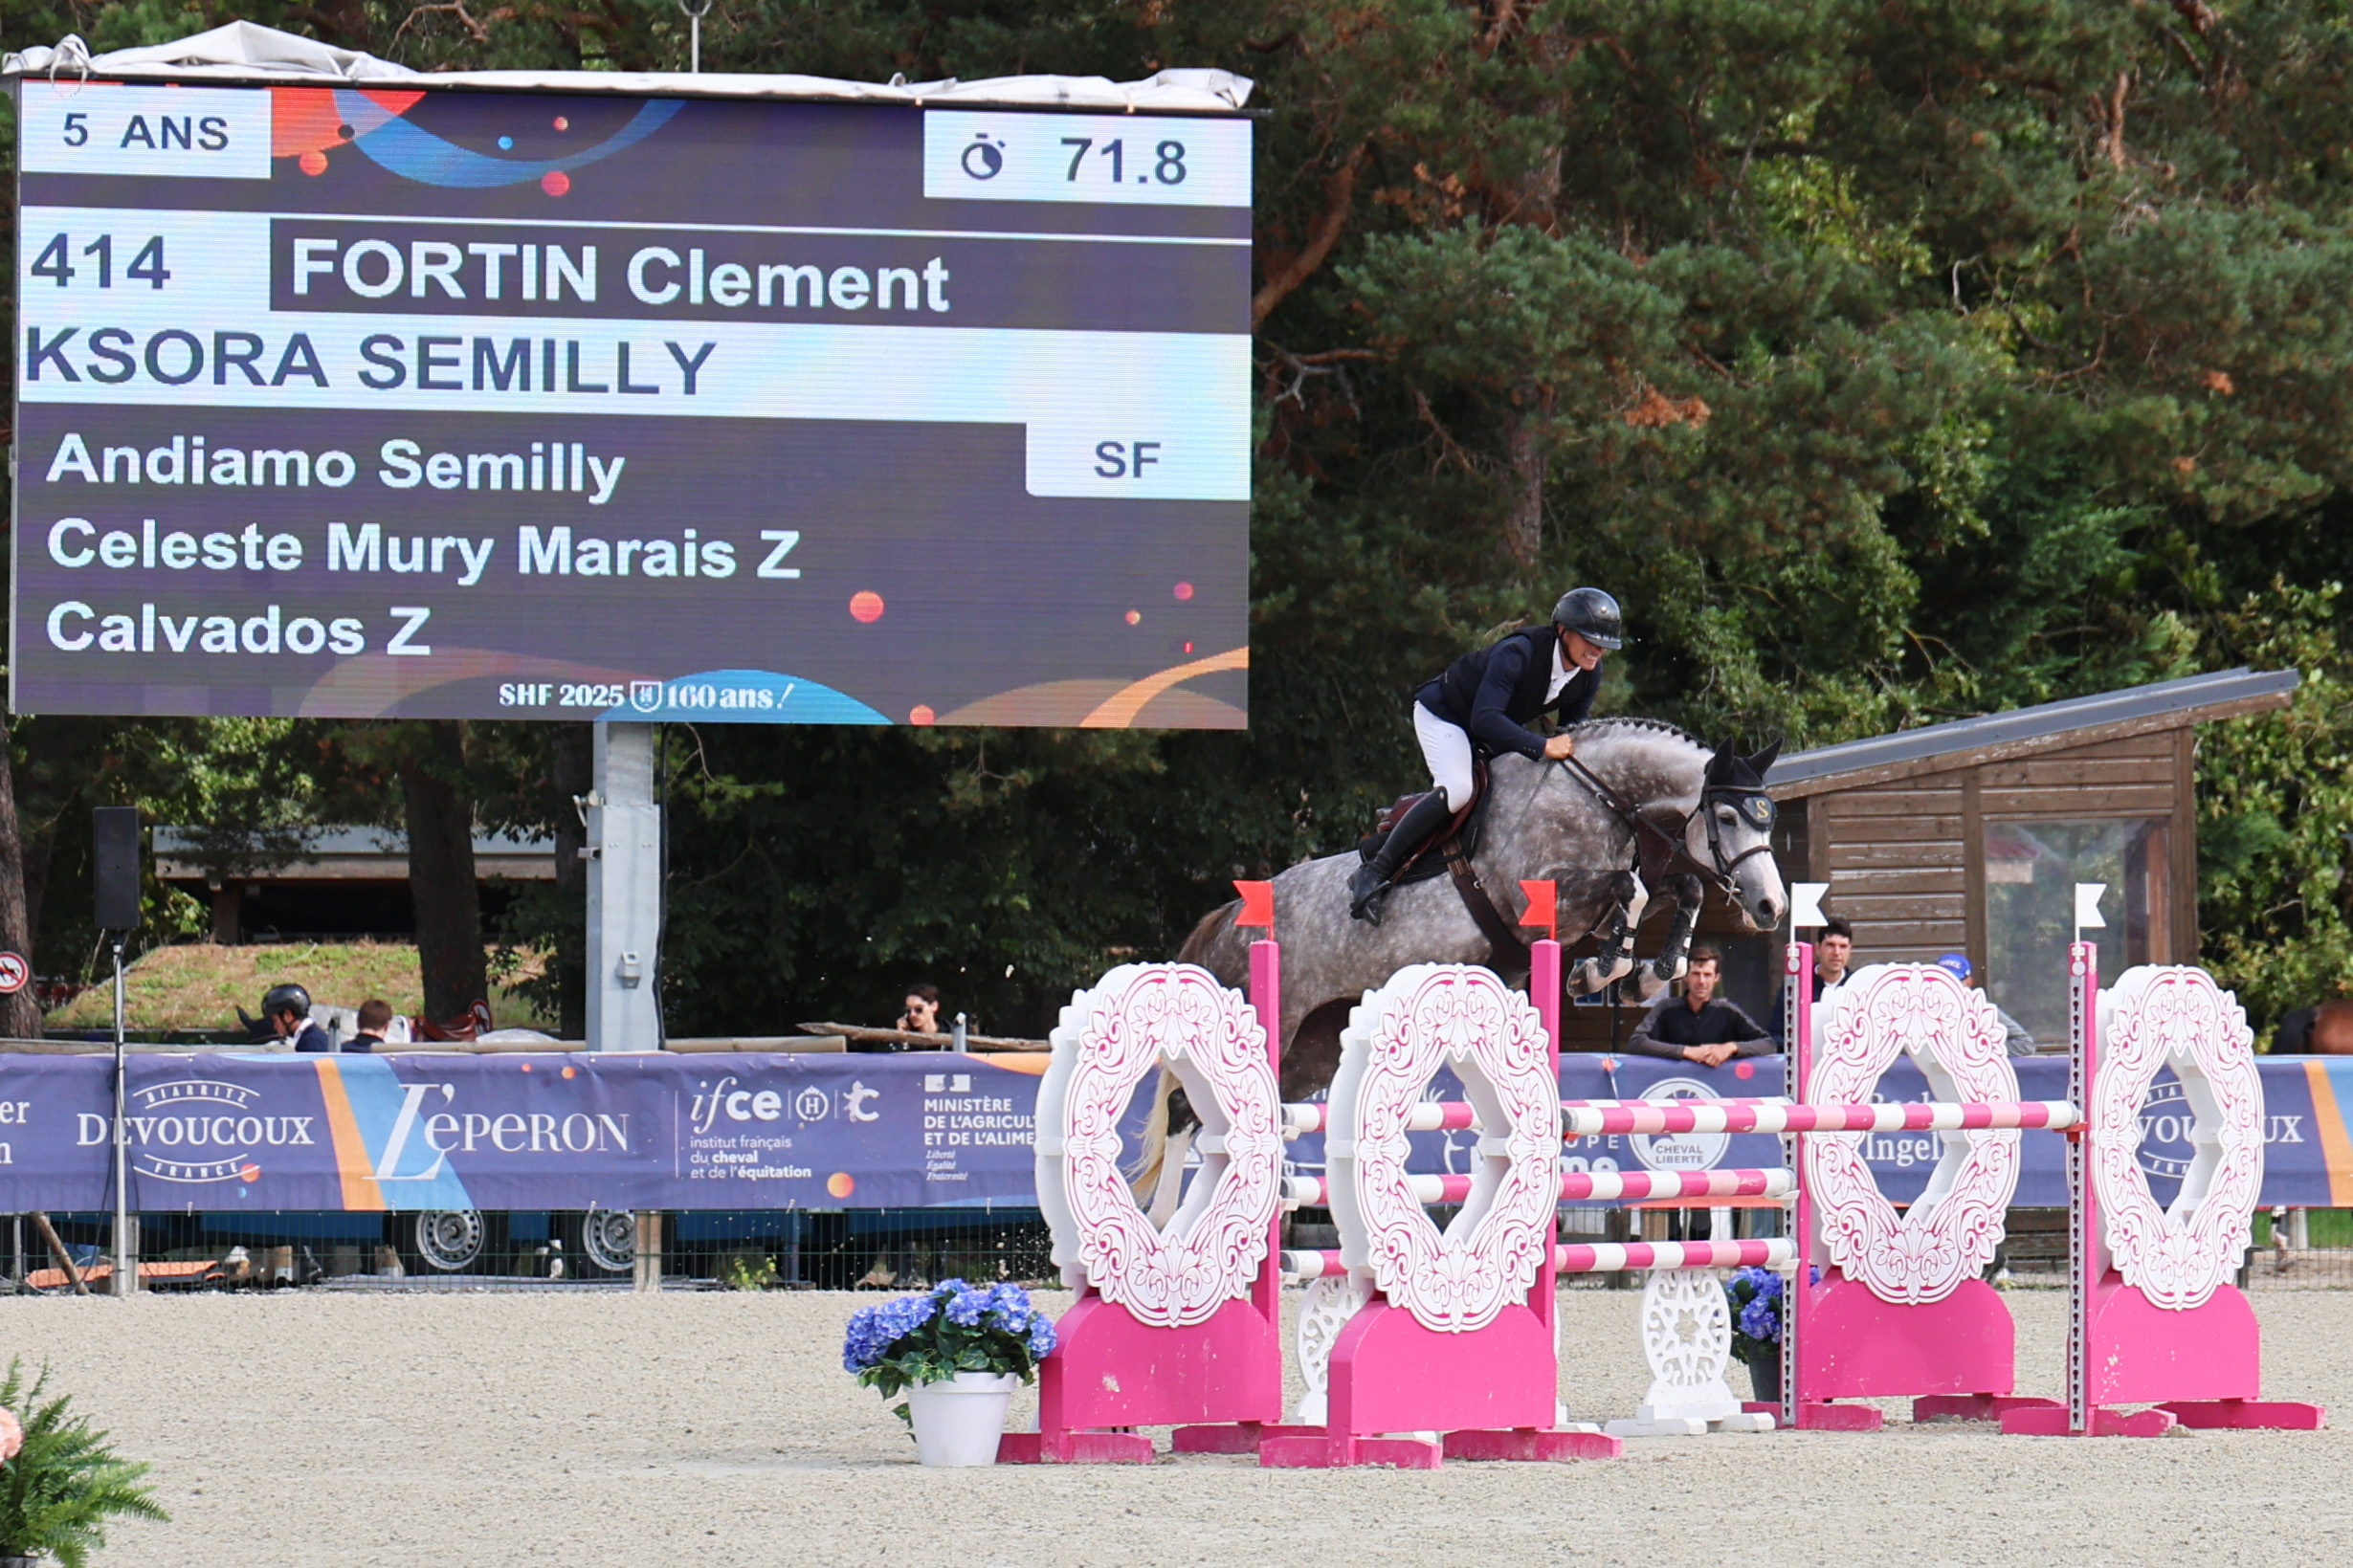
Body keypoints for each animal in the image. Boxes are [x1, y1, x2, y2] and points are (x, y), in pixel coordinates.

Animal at [1134, 720, 1787, 1204]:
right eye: (1727, 818)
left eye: (1769, 817)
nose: (1772, 907)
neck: (1599, 798)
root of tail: (1226, 920)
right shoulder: (1547, 898)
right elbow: (1635, 887)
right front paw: (1603, 971)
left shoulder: (1591, 908)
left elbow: (1680, 889)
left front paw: (1638, 974)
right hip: (1265, 1021)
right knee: (1188, 1111)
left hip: (1309, 1049)